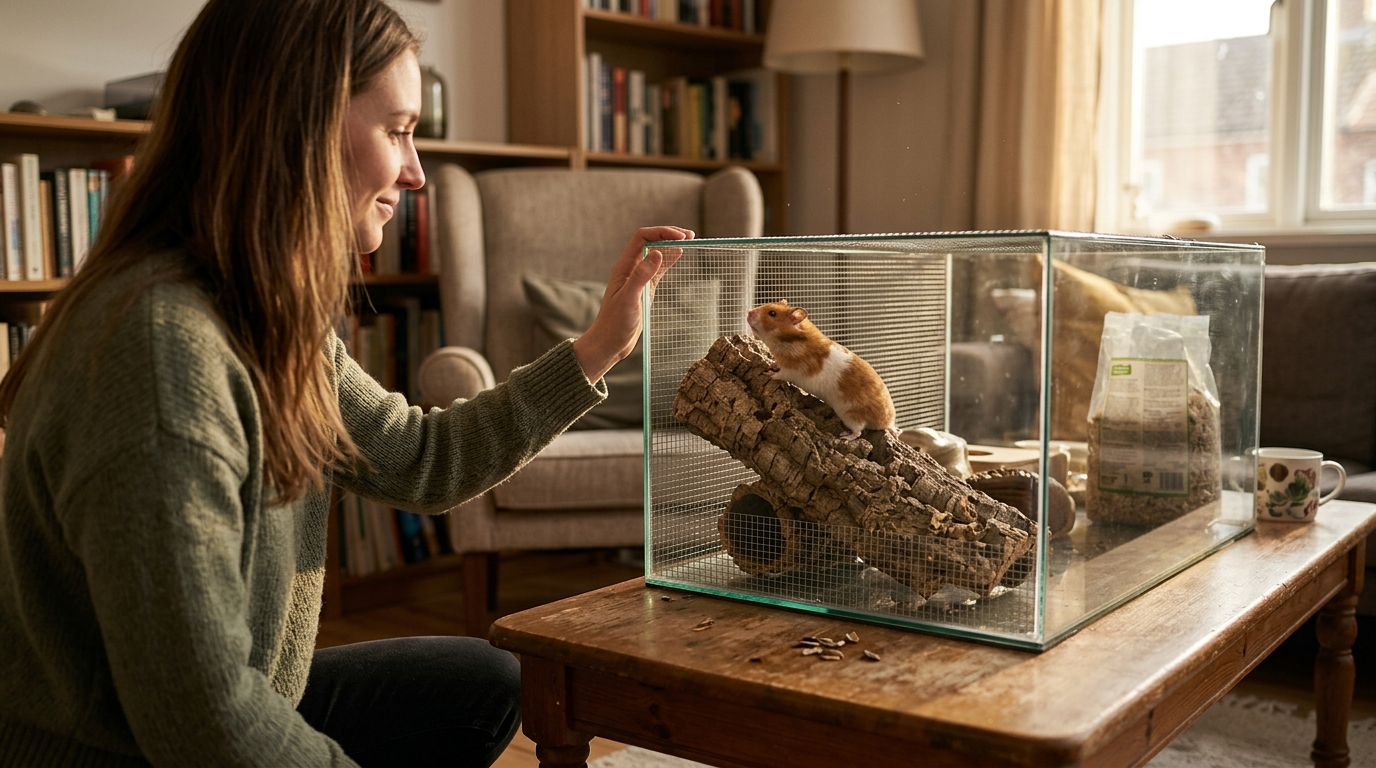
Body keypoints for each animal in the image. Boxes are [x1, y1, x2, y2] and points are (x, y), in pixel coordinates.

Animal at [746, 300, 897, 441]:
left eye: (772, 313)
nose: (748, 313)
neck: (791, 340)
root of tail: (887, 422)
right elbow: (777, 364)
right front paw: (772, 362)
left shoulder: (794, 370)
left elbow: (781, 374)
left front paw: (769, 373)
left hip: (850, 415)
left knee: (858, 431)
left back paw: (845, 437)